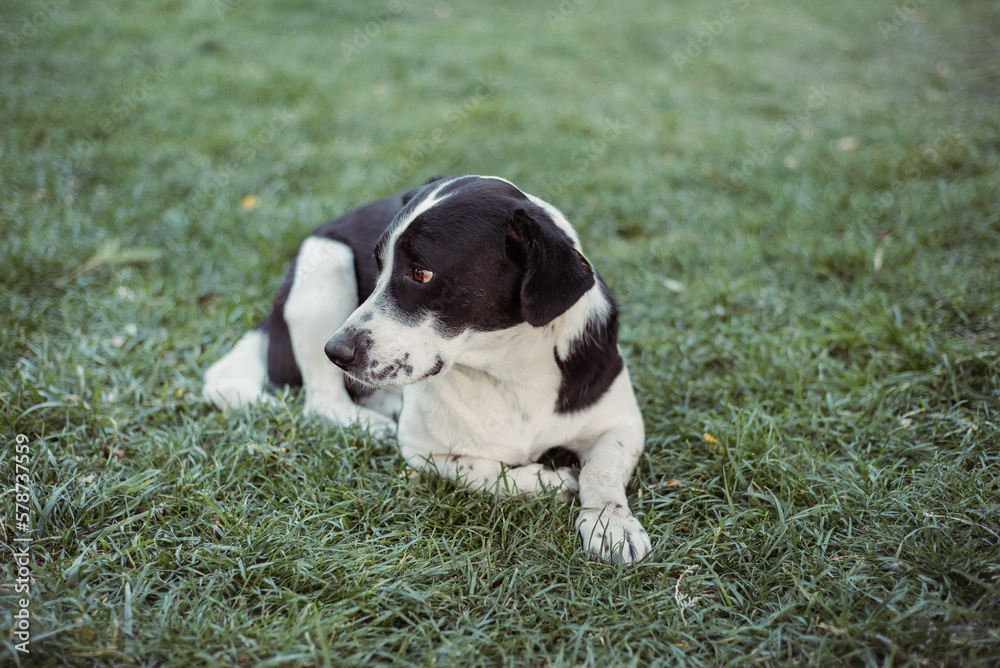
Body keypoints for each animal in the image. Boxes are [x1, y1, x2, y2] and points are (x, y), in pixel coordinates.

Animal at [207, 175, 652, 560]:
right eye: (378, 265)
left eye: (421, 273)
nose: (335, 350)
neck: (508, 372)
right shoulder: (422, 449)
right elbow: (482, 470)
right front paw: (550, 480)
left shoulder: (623, 423)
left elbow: (601, 471)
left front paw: (612, 525)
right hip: (325, 265)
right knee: (321, 400)